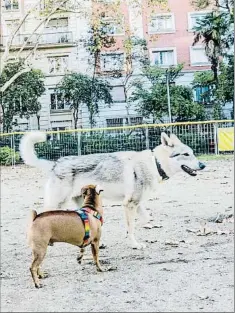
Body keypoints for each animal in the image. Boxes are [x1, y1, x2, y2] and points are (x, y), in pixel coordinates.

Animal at [20, 131, 206, 249]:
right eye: (186, 154)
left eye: (192, 153)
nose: (203, 165)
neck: (155, 164)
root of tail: (55, 164)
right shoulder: (129, 204)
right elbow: (132, 227)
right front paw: (134, 244)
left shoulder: (137, 204)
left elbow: (145, 219)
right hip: (57, 203)